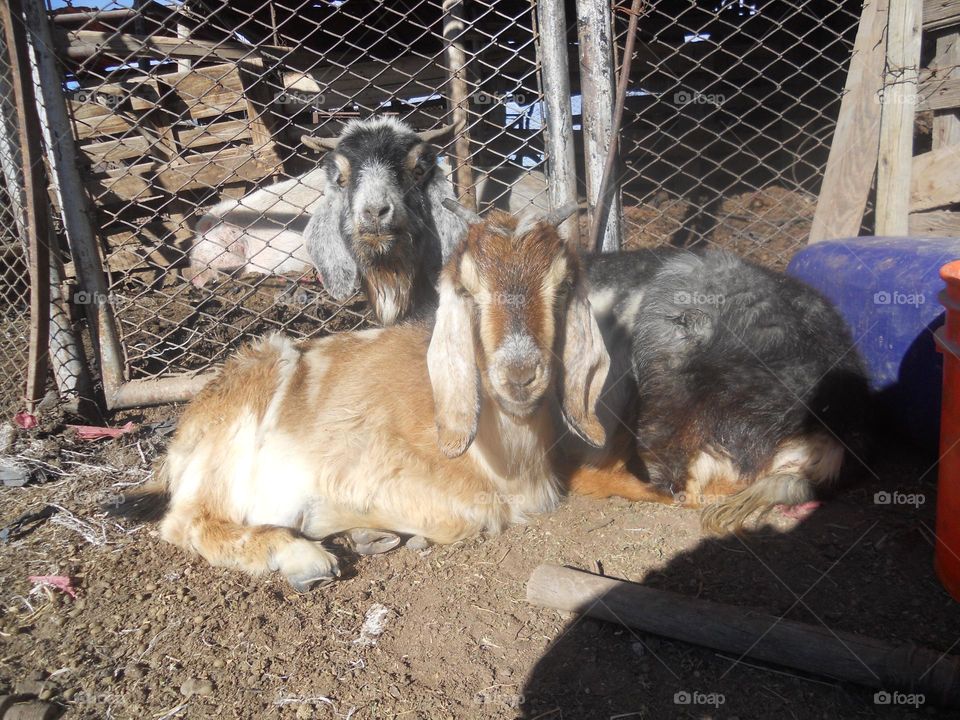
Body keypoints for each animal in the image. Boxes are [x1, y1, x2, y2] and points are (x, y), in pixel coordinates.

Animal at [118, 202, 608, 590]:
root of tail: (181, 438)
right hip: (233, 432)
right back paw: (304, 557)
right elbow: (469, 513)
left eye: (563, 286)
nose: (520, 375)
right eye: (468, 290)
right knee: (187, 521)